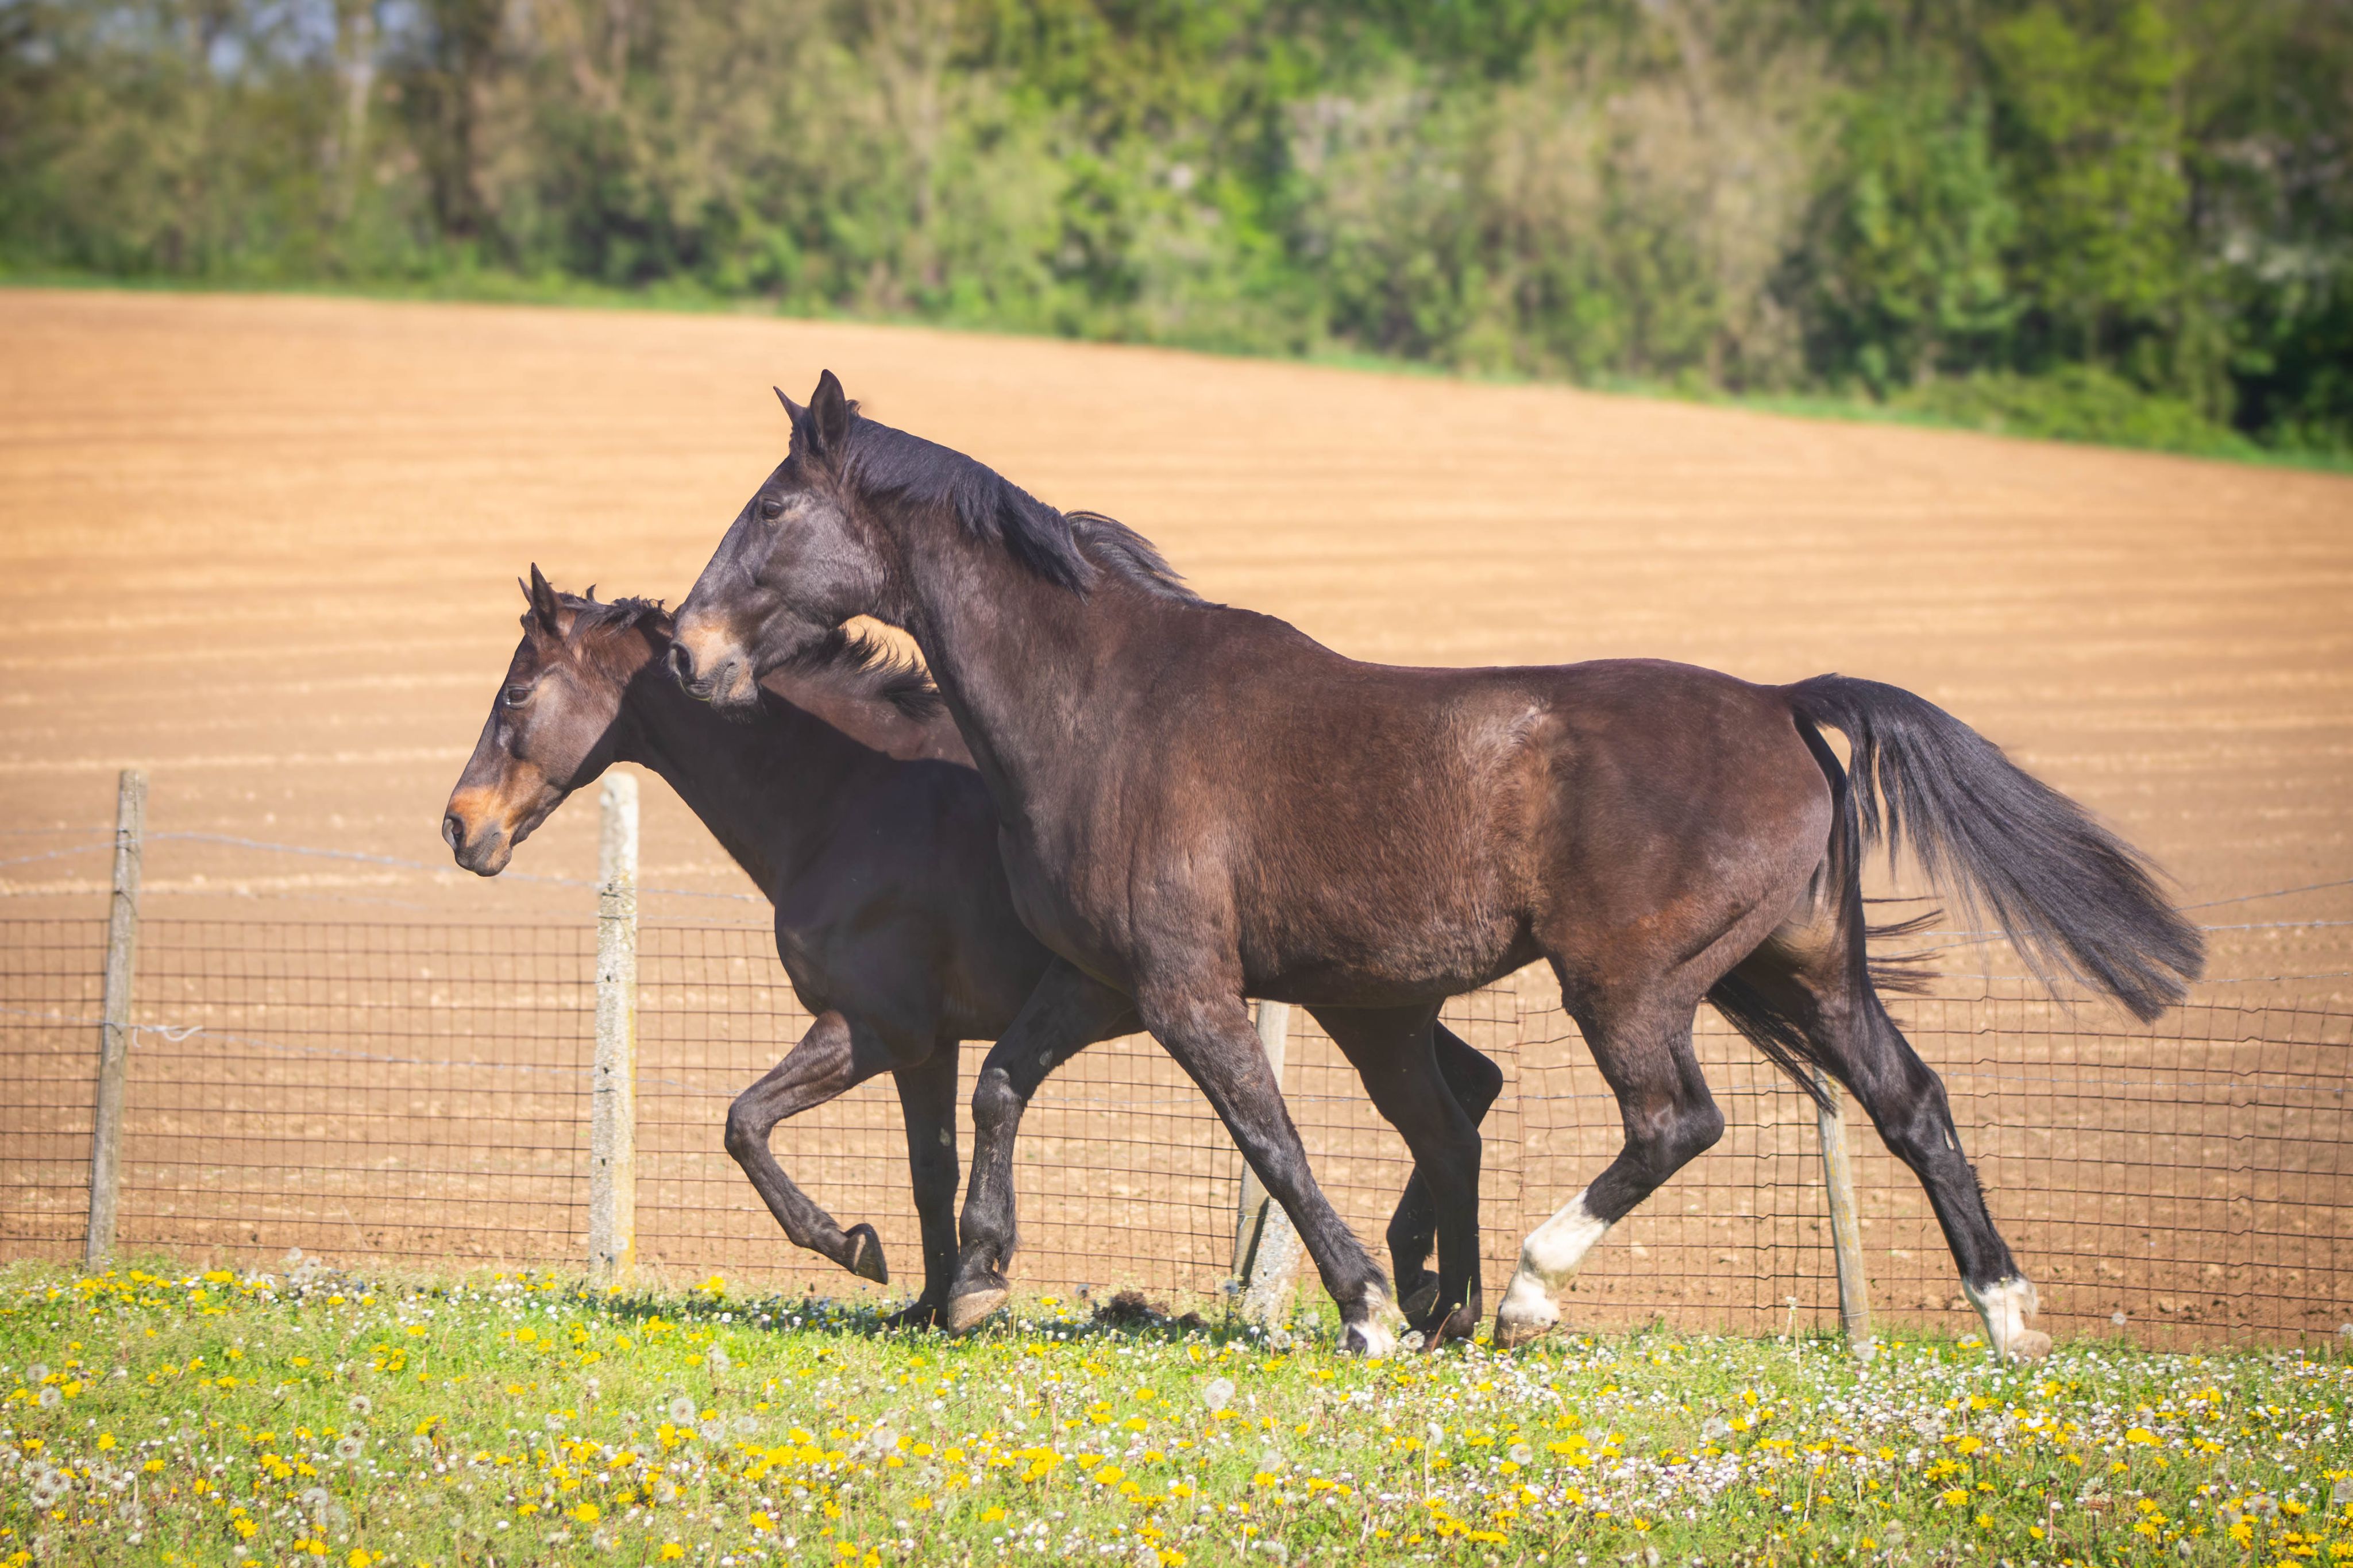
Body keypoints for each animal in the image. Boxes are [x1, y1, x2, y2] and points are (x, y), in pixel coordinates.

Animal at [442, 569, 1504, 1324]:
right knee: (1471, 1093)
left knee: (1447, 1111)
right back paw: (1425, 1280)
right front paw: (930, 1297)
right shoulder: (930, 1047)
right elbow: (931, 1168)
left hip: (1356, 1007)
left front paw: (853, 1247)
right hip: (1372, 1006)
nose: (460, 828)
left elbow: (745, 1122)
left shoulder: (872, 1029)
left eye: (517, 694)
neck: (848, 798)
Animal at [666, 371, 2203, 1359]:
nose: (688, 653)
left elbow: (1268, 1138)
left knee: (1676, 1122)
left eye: (768, 511)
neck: (1098, 699)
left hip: (1630, 985)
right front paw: (976, 1280)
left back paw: (1520, 1295)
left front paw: (1363, 1308)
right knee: (1912, 1106)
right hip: (1802, 975)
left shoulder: (1183, 989)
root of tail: (1780, 703)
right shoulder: (1102, 984)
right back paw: (2005, 1319)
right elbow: (997, 1088)